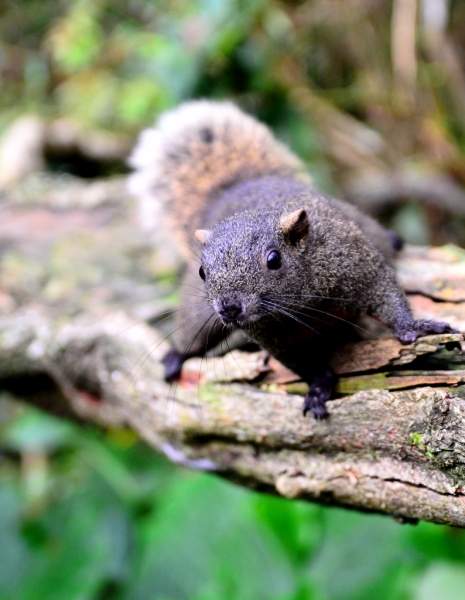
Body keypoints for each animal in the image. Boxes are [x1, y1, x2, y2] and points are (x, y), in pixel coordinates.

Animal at [129, 99, 454, 418]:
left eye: (273, 259)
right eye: (201, 272)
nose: (229, 308)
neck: (300, 304)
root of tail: (239, 187)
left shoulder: (356, 263)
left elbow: (386, 294)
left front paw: (412, 327)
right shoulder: (271, 337)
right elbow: (299, 363)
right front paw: (320, 385)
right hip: (197, 312)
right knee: (191, 334)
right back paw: (177, 355)